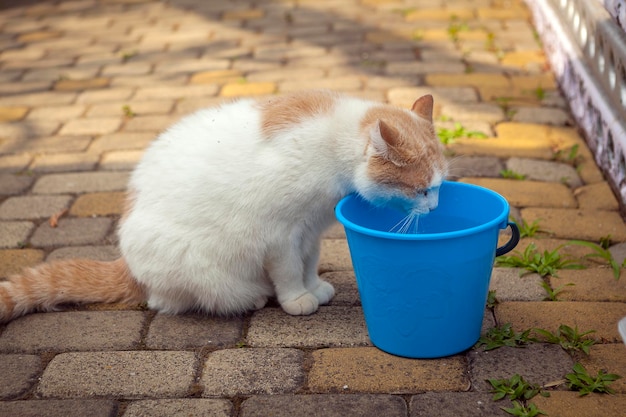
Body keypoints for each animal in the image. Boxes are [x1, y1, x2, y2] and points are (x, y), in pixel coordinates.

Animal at [0, 89, 448, 320]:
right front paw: (297, 299)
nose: (434, 208)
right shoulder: (279, 237)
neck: (332, 147)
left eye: (439, 186)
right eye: (422, 191)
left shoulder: (309, 231)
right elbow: (290, 272)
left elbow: (309, 264)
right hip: (194, 266)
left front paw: (315, 287)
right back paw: (252, 297)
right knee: (176, 300)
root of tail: (126, 265)